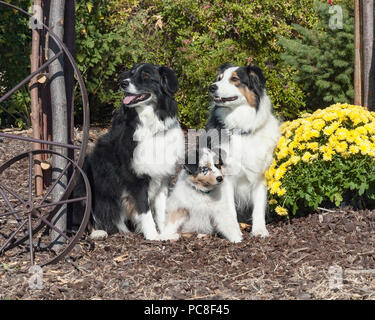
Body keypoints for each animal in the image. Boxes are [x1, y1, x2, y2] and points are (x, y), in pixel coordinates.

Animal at [74, 63, 184, 240]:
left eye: (146, 76)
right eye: (131, 74)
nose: (123, 83)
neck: (150, 126)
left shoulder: (163, 177)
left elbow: (161, 209)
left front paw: (164, 233)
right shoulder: (136, 178)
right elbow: (145, 210)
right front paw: (152, 235)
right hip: (84, 184)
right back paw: (97, 231)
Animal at [207, 63, 280, 238]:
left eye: (234, 79)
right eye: (219, 78)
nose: (211, 87)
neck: (240, 127)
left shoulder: (261, 175)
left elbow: (258, 206)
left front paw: (260, 230)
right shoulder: (226, 176)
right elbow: (230, 209)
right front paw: (234, 230)